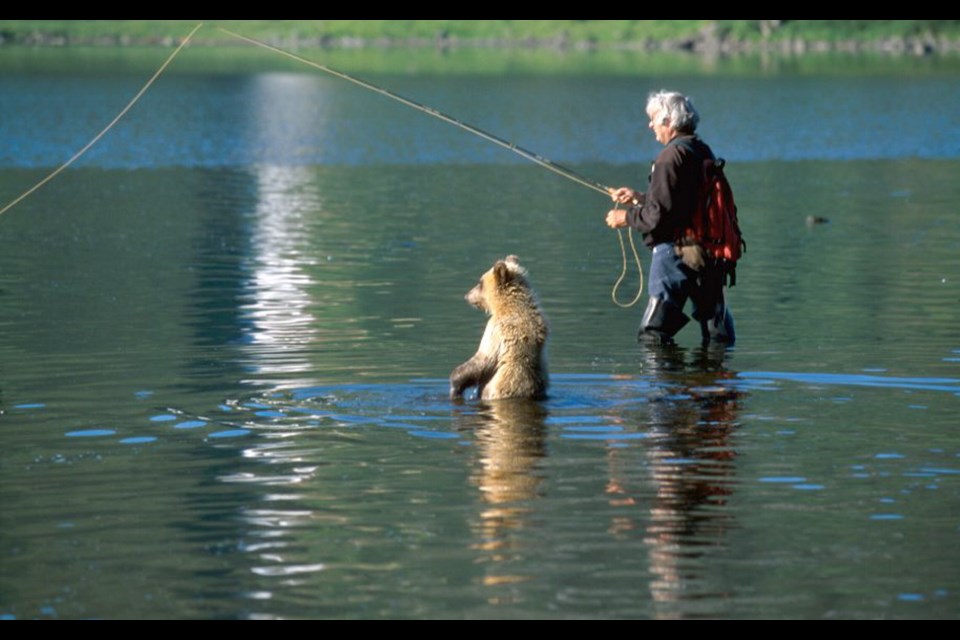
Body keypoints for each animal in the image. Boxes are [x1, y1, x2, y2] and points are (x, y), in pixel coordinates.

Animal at [448, 255, 548, 400]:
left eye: (480, 282)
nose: (467, 295)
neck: (508, 305)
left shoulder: (496, 329)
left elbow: (484, 358)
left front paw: (455, 383)